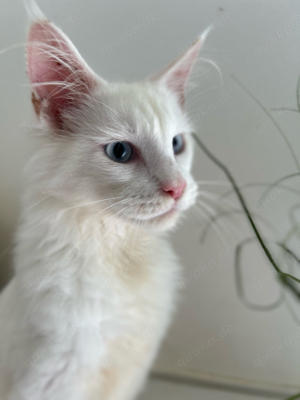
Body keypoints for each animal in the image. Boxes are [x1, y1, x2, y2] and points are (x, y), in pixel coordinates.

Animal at [0, 3, 204, 400]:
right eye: (120, 152)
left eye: (177, 145)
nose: (177, 188)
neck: (119, 252)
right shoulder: (48, 380)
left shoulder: (129, 377)